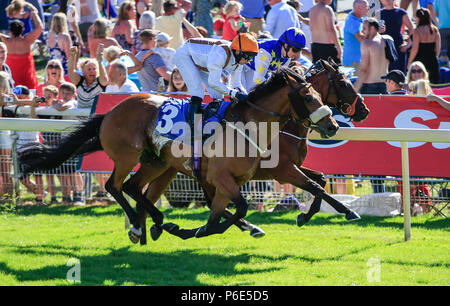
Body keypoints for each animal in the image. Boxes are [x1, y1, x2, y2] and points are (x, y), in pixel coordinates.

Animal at [19, 66, 340, 241]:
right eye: (308, 97)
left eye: (320, 95)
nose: (333, 125)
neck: (249, 126)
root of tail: (109, 112)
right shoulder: (225, 176)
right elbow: (236, 209)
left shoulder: (230, 180)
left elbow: (219, 217)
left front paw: (189, 230)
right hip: (128, 156)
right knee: (115, 185)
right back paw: (141, 223)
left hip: (158, 161)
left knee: (134, 187)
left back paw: (156, 221)